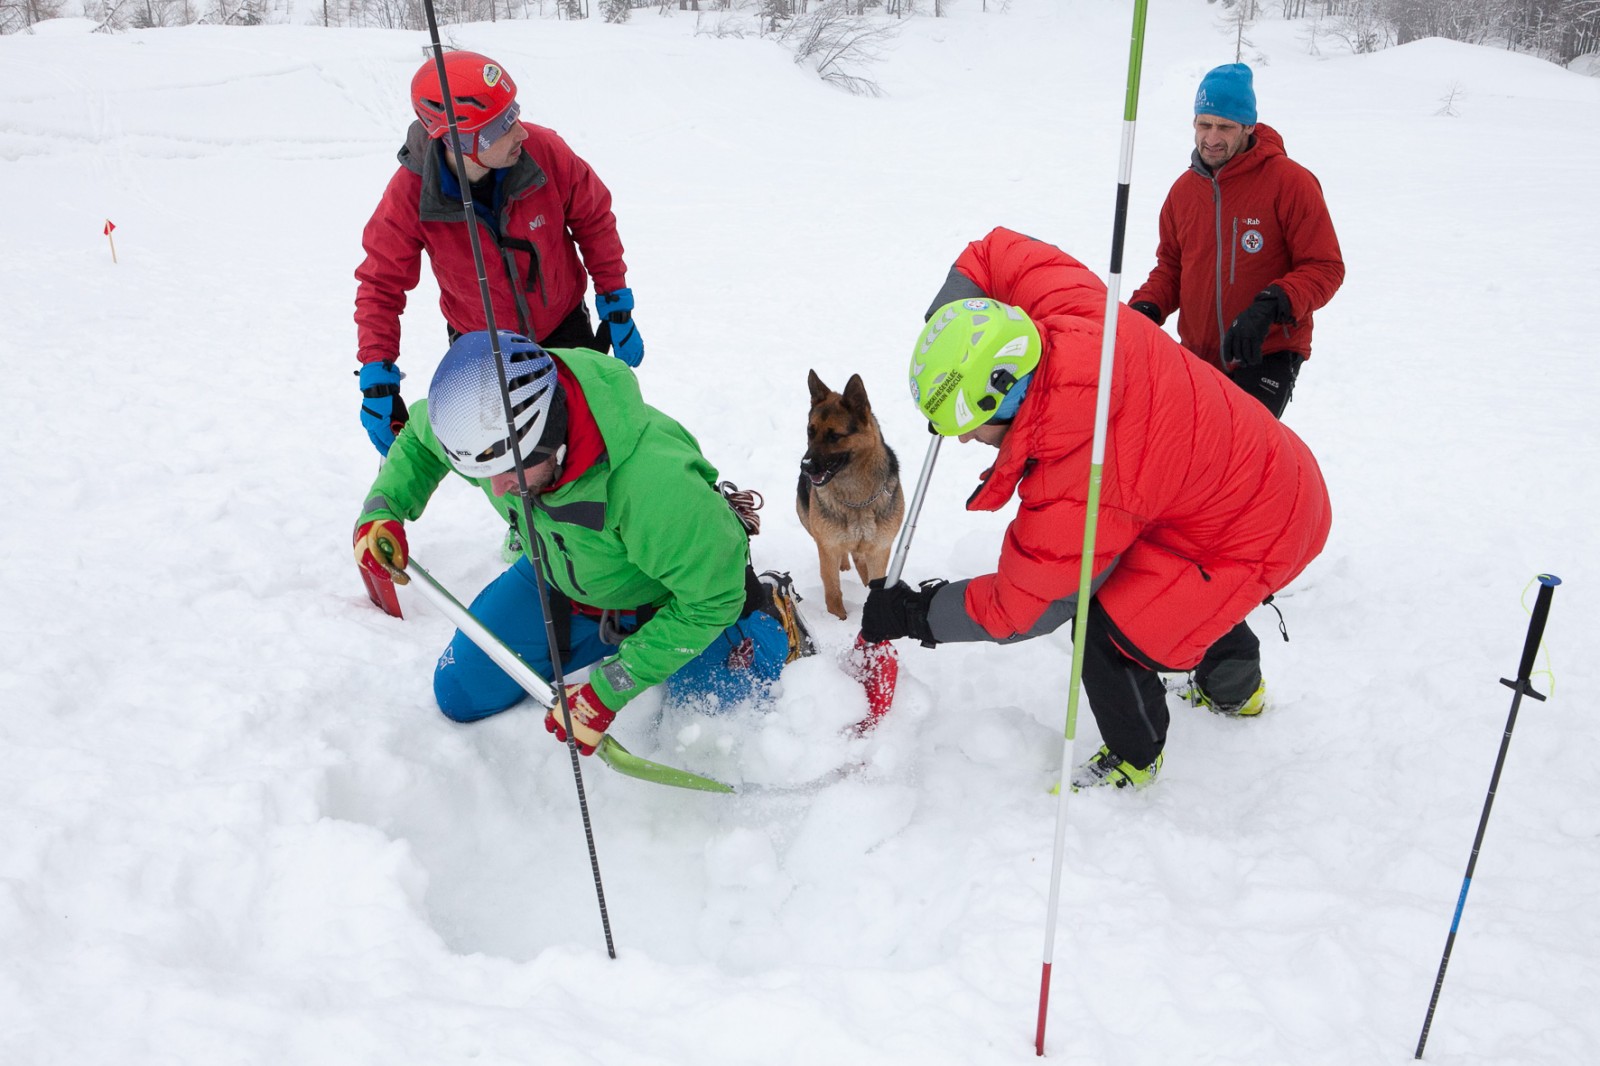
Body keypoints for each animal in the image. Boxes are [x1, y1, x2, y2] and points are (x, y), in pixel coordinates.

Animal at [796, 368, 908, 617]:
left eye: (834, 436)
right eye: (810, 431)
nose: (805, 466)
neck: (857, 500)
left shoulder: (879, 550)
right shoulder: (827, 548)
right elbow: (833, 594)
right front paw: (839, 620)